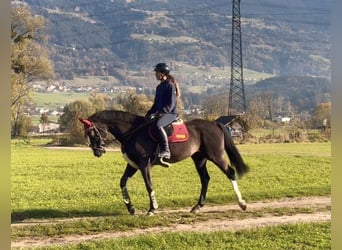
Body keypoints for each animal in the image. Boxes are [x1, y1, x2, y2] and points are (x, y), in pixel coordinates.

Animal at [79, 110, 250, 216]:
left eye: (93, 133)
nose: (97, 152)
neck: (133, 132)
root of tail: (214, 124)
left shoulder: (144, 164)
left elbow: (149, 185)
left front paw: (152, 209)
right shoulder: (133, 165)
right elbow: (122, 182)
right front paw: (130, 207)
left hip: (216, 156)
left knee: (230, 172)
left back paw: (242, 203)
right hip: (199, 159)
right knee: (205, 179)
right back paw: (197, 207)